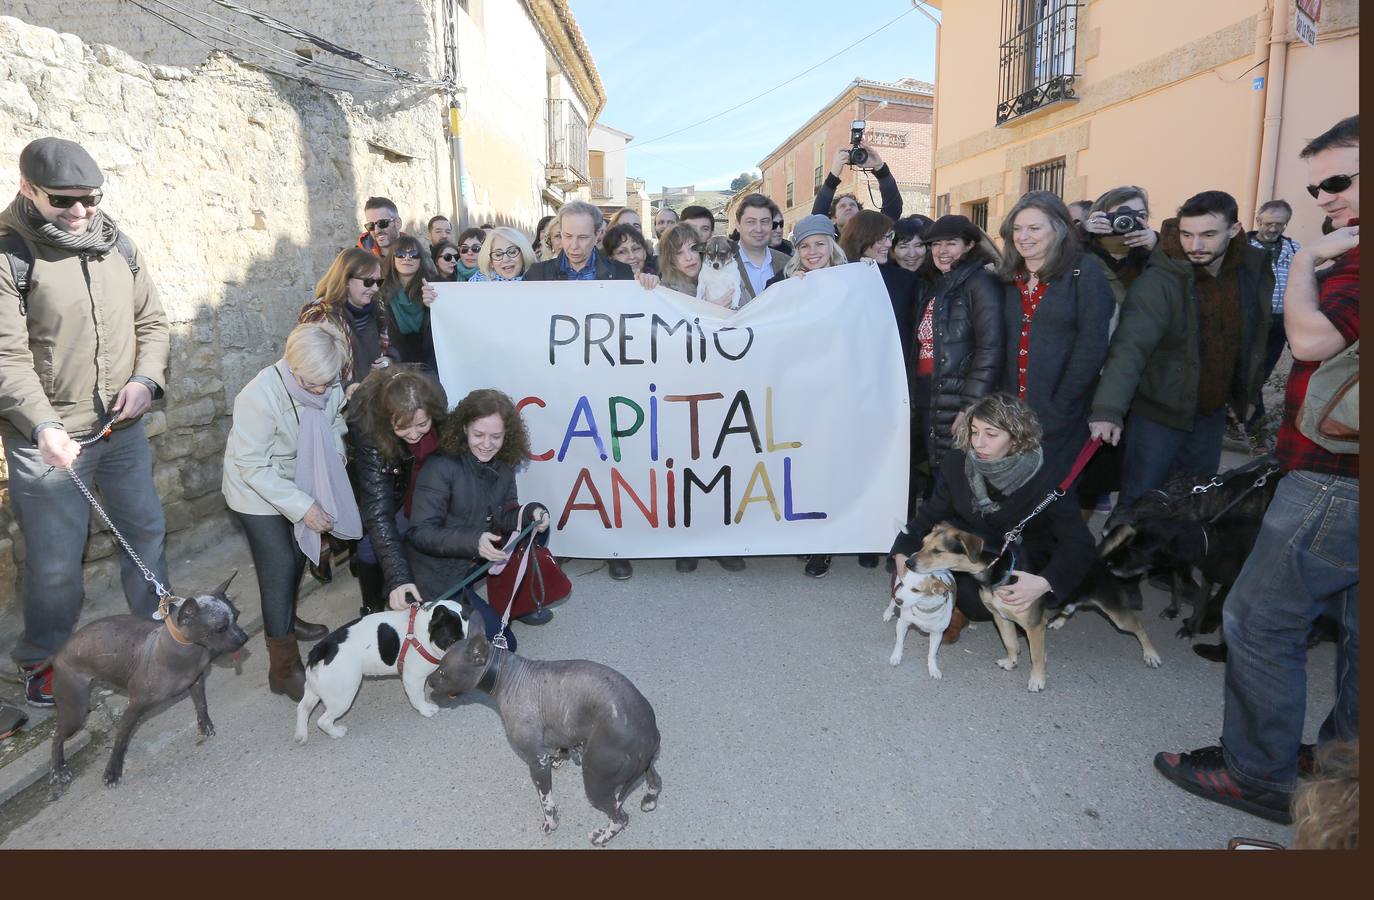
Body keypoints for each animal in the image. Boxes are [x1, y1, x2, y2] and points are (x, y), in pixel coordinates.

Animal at [292, 599, 469, 747]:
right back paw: (336, 733)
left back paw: (301, 734)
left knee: (303, 707)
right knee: (323, 720)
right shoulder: (413, 678)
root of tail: (321, 650)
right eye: (453, 641)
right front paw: (425, 710)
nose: (464, 650)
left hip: (314, 689)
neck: (421, 631)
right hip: (342, 696)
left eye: (468, 636)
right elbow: (417, 697)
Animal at [912, 524, 1159, 692]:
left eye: (937, 551)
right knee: (1070, 607)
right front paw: (1011, 662)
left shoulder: (1033, 626)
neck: (1000, 571)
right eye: (922, 543)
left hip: (1116, 613)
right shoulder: (1001, 617)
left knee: (1139, 627)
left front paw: (1038, 679)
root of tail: (1097, 559)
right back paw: (1058, 620)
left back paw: (1151, 654)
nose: (909, 562)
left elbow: (1037, 656)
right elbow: (1011, 644)